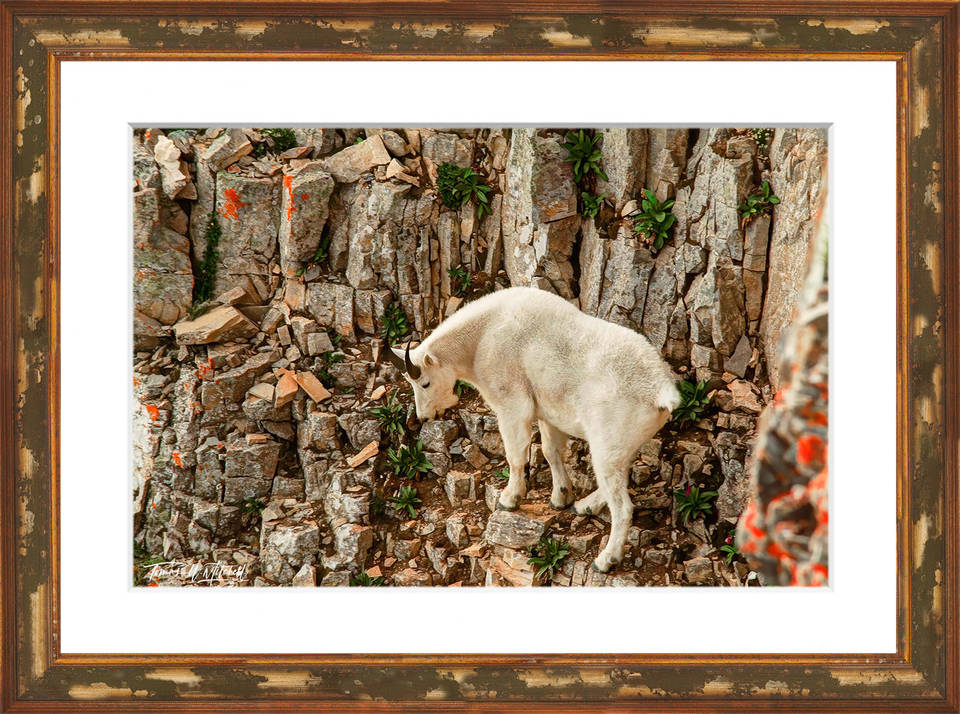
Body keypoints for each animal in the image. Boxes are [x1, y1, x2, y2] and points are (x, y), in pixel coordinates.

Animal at [385, 286, 680, 573]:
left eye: (424, 383)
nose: (424, 417)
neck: (481, 337)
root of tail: (661, 391)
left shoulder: (512, 406)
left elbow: (515, 455)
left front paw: (509, 498)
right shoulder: (549, 412)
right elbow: (550, 452)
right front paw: (560, 497)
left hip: (607, 442)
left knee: (623, 506)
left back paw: (606, 560)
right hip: (621, 444)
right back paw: (584, 505)